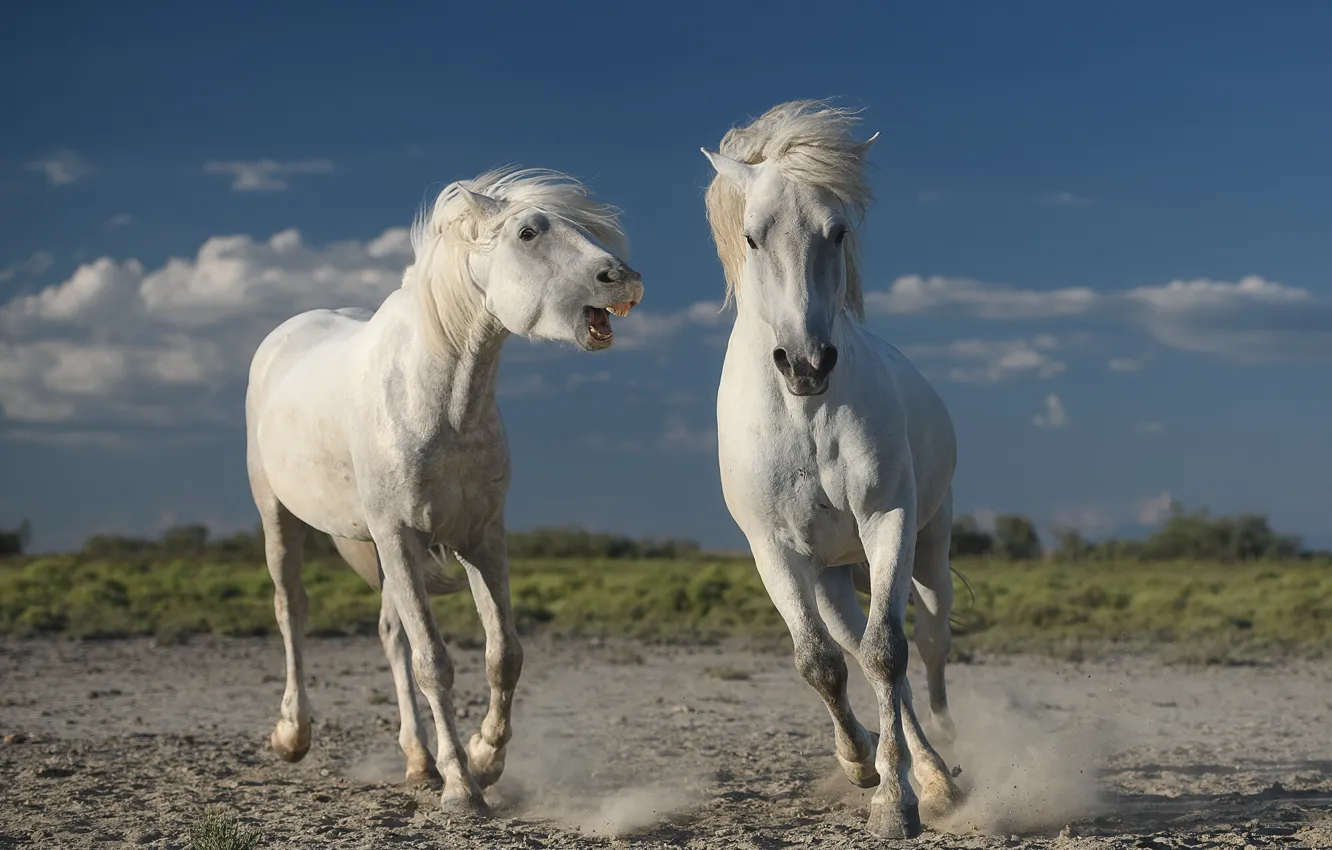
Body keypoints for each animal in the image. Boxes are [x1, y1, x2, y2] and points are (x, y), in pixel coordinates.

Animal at [244, 166, 643, 815]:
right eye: (529, 233)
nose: (624, 280)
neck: (438, 400)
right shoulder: (401, 536)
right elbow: (435, 661)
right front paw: (462, 786)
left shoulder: (481, 538)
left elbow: (504, 654)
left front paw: (484, 759)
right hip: (280, 516)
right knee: (291, 609)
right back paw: (294, 734)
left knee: (390, 636)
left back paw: (417, 761)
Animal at [701, 100, 964, 839]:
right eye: (753, 237)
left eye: (837, 230)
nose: (806, 363)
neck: (805, 418)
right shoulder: (776, 550)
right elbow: (820, 663)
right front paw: (860, 766)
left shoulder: (888, 520)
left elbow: (887, 654)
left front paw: (895, 805)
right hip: (833, 577)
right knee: (858, 654)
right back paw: (909, 767)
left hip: (926, 550)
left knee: (921, 650)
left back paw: (937, 774)